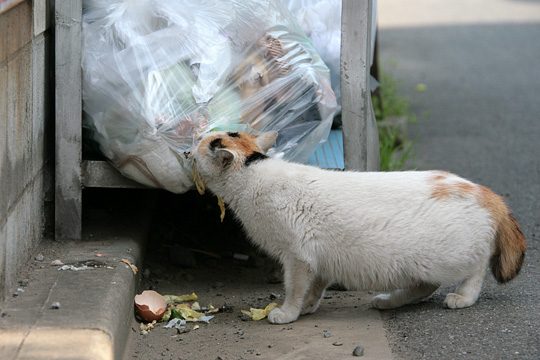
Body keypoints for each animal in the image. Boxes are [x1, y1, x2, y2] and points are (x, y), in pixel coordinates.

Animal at [192, 131, 524, 324]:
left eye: (201, 146)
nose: (186, 150)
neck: (253, 173)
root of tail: (487, 193)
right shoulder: (319, 260)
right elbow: (315, 288)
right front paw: (308, 307)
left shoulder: (298, 257)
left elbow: (295, 288)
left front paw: (288, 312)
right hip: (420, 264)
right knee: (425, 286)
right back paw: (389, 301)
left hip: (447, 258)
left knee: (476, 269)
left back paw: (464, 297)